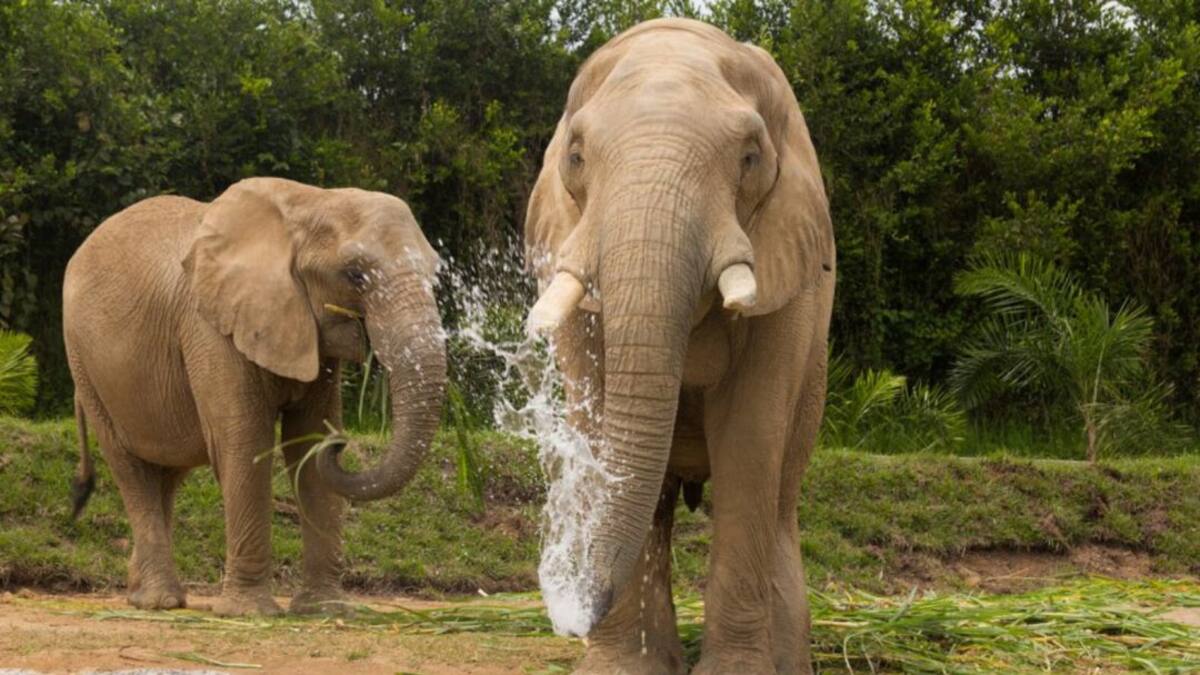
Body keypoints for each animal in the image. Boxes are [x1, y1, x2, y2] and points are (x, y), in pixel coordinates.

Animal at [63, 177, 447, 617]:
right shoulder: (210, 328)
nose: (342, 443)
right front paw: (249, 613)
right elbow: (245, 443)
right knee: (130, 468)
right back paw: (160, 601)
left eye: (435, 273)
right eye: (354, 275)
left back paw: (143, 594)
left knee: (168, 471)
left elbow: (306, 448)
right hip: (84, 361)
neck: (311, 201)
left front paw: (326, 609)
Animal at [524, 19, 835, 674]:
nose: (570, 610)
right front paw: (617, 671)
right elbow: (600, 429)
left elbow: (749, 438)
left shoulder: (785, 280)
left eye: (749, 157)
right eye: (576, 156)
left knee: (779, 503)